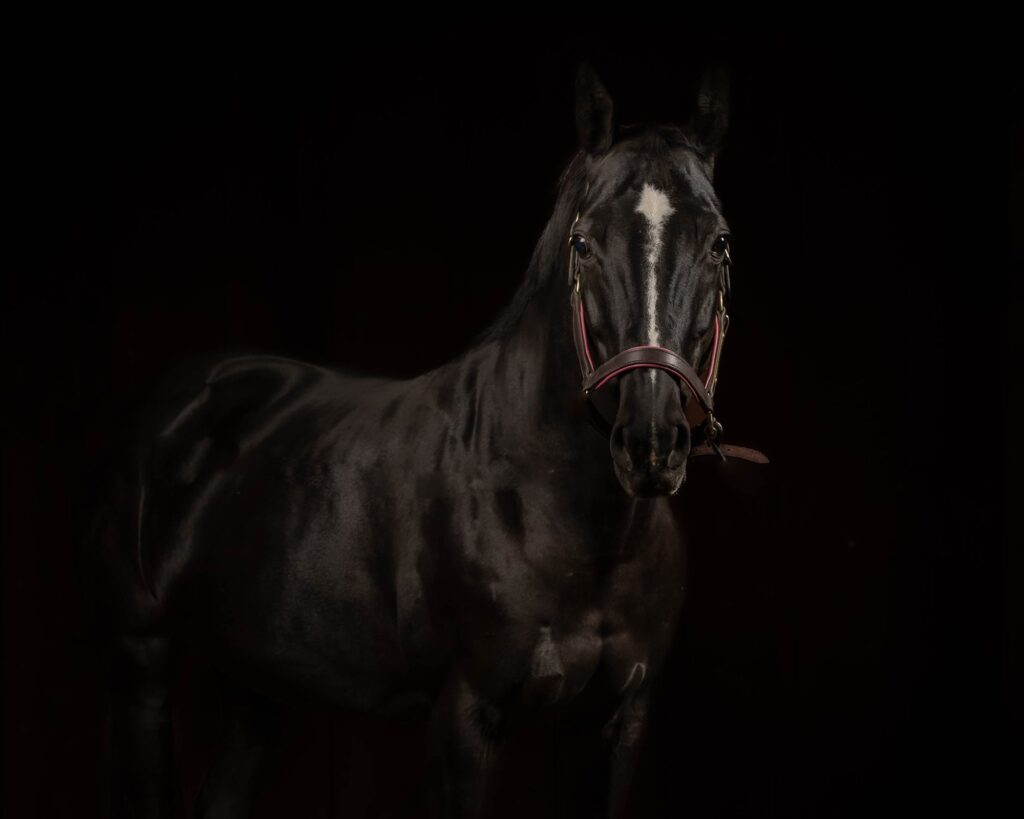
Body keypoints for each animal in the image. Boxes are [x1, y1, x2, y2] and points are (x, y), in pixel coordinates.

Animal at [82, 62, 766, 819]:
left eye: (719, 242)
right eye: (585, 244)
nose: (650, 441)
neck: (566, 520)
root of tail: (187, 391)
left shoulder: (619, 721)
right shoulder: (464, 718)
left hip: (256, 685)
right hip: (140, 658)